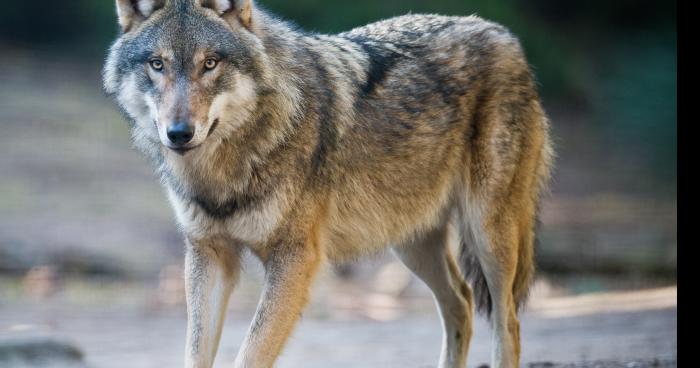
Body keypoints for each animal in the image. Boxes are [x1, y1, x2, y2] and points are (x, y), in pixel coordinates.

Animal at [102, 0, 552, 368]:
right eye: (157, 64)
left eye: (210, 63)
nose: (179, 133)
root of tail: (504, 34)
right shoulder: (208, 254)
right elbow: (196, 354)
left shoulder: (295, 260)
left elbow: (250, 354)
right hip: (410, 242)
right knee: (461, 302)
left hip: (488, 236)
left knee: (508, 322)